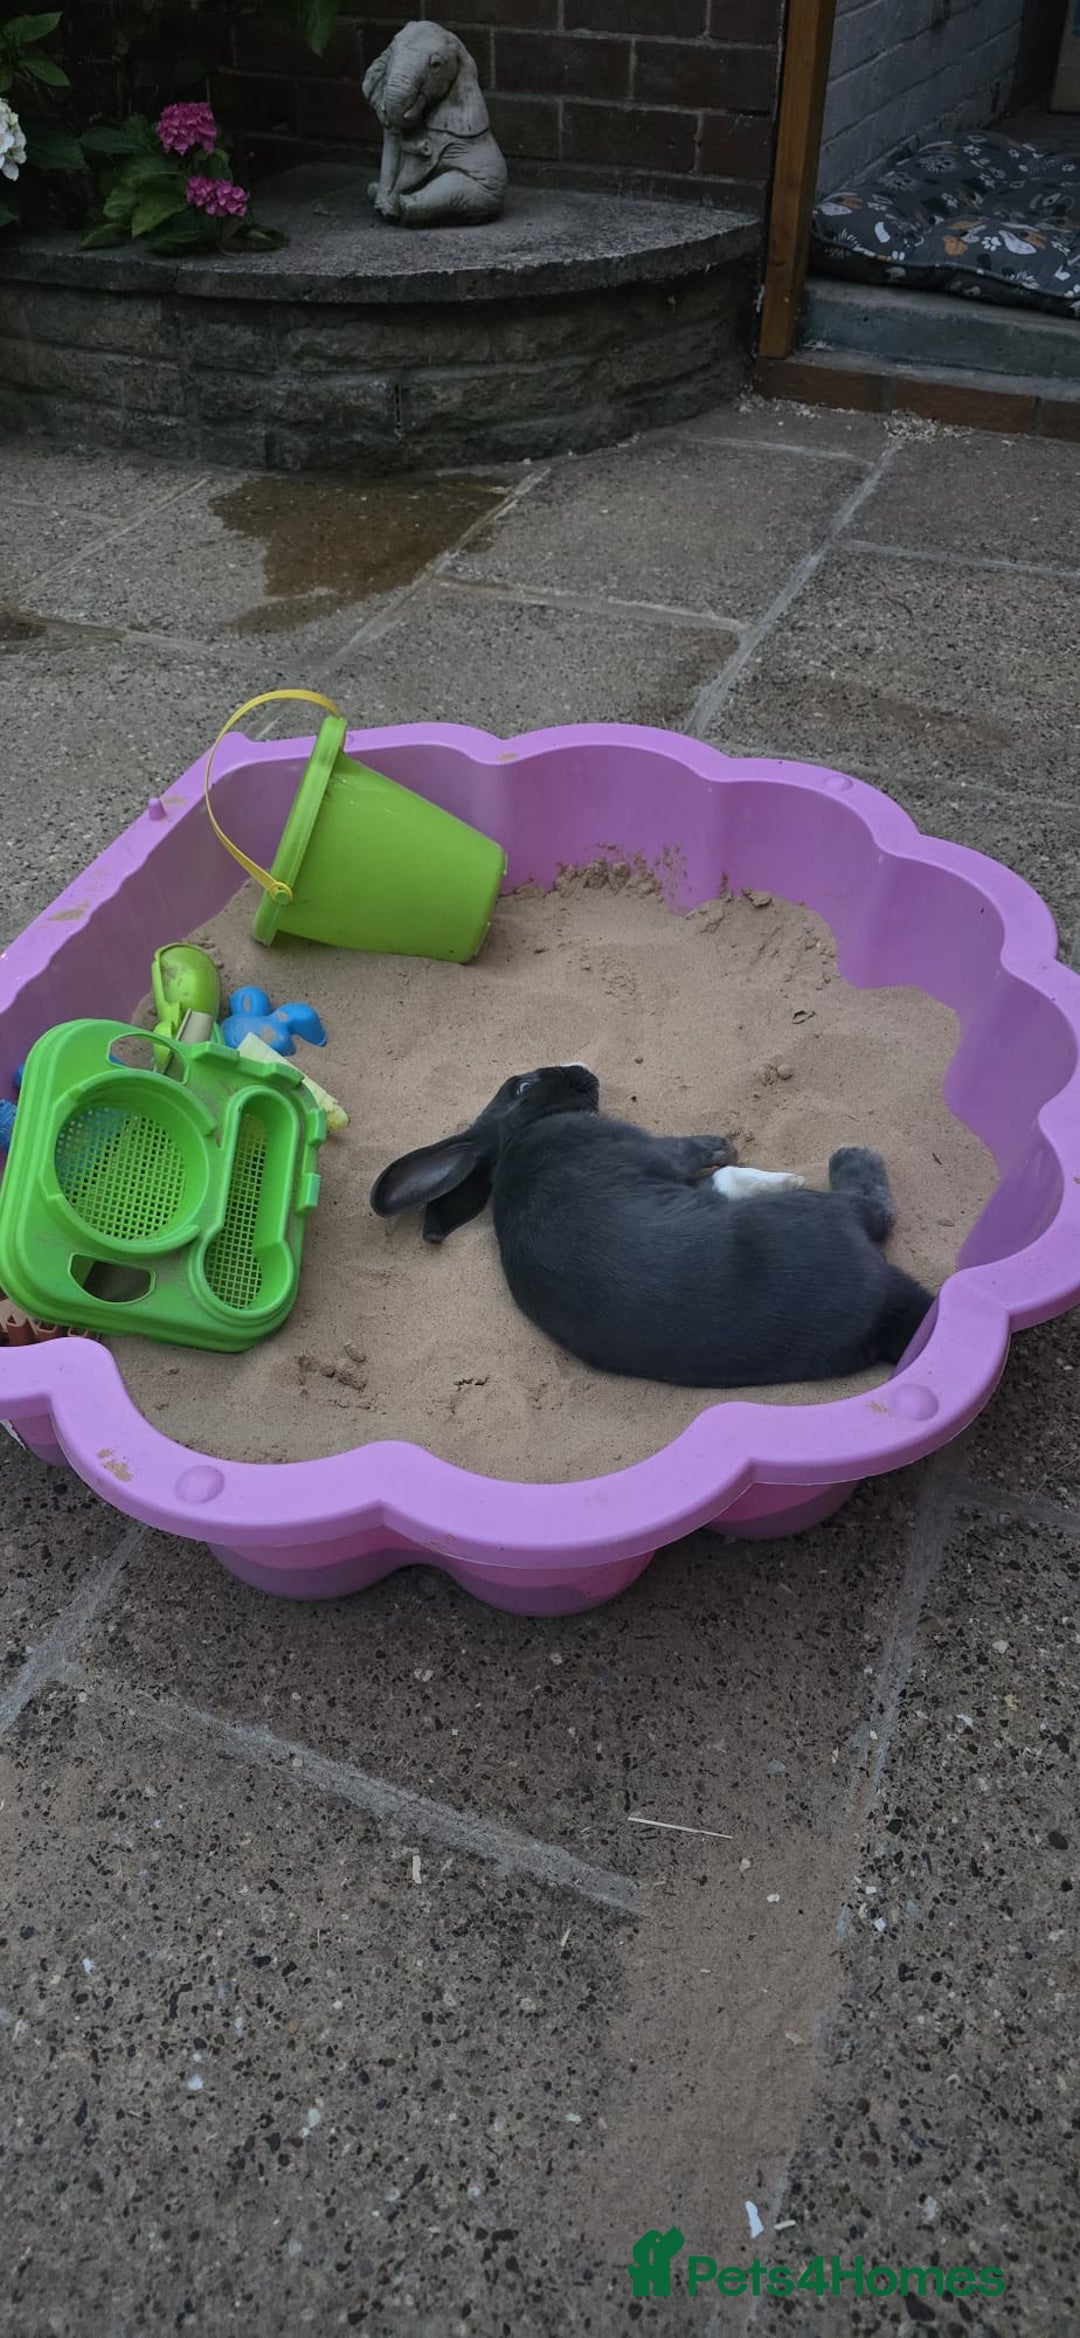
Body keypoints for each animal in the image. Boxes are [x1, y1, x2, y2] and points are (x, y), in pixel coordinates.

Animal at [369, 1064, 935, 1389]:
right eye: (525, 1086)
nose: (577, 1065)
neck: (517, 1132)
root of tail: (882, 1309)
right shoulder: (656, 1151)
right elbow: (705, 1157)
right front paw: (724, 1145)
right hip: (824, 1215)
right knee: (872, 1209)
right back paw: (850, 1158)